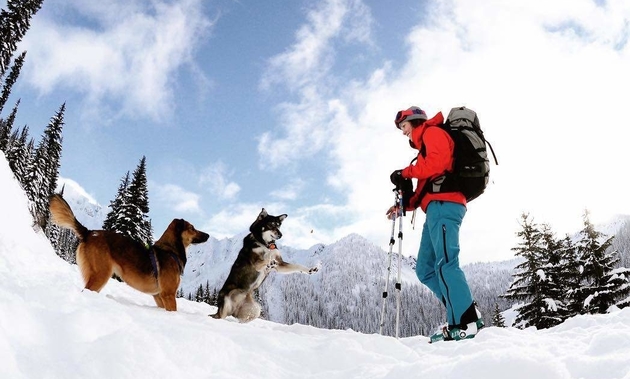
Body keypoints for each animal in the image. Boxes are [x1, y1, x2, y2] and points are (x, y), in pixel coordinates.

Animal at [48, 196, 210, 312]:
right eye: (192, 228)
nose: (208, 235)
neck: (170, 251)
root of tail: (89, 232)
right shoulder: (168, 295)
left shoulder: (159, 296)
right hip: (101, 274)